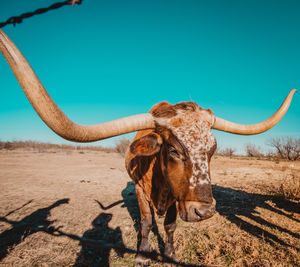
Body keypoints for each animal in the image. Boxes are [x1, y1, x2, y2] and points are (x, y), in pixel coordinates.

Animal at [0, 30, 296, 266]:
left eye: (212, 150)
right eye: (174, 149)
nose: (205, 212)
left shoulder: (177, 198)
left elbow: (170, 225)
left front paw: (171, 254)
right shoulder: (142, 192)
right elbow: (145, 223)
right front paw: (143, 254)